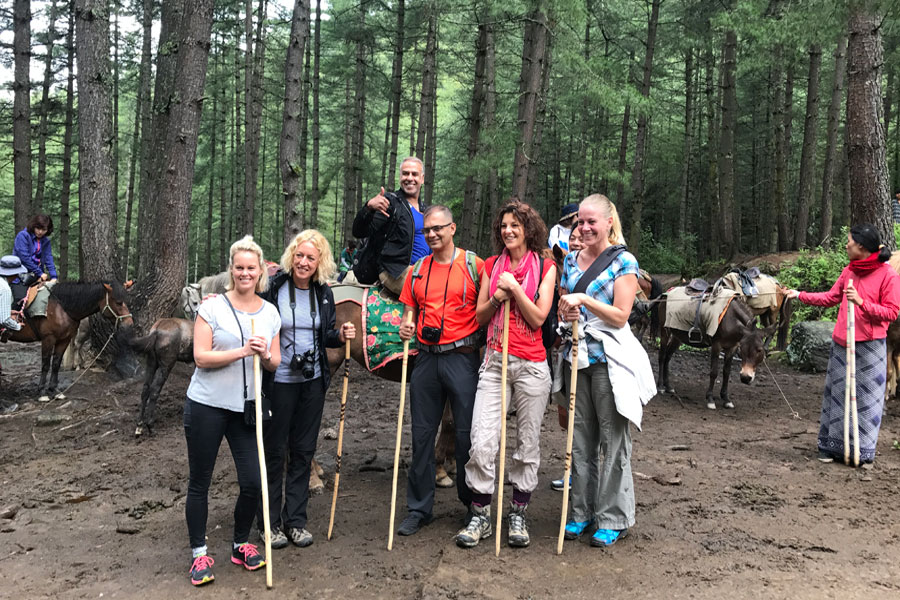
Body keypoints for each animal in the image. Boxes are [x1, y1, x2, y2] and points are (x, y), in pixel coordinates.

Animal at [6, 281, 134, 402]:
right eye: (118, 302)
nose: (129, 323)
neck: (60, 307)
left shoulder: (64, 339)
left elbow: (56, 363)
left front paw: (55, 390)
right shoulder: (48, 339)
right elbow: (46, 364)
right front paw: (42, 392)